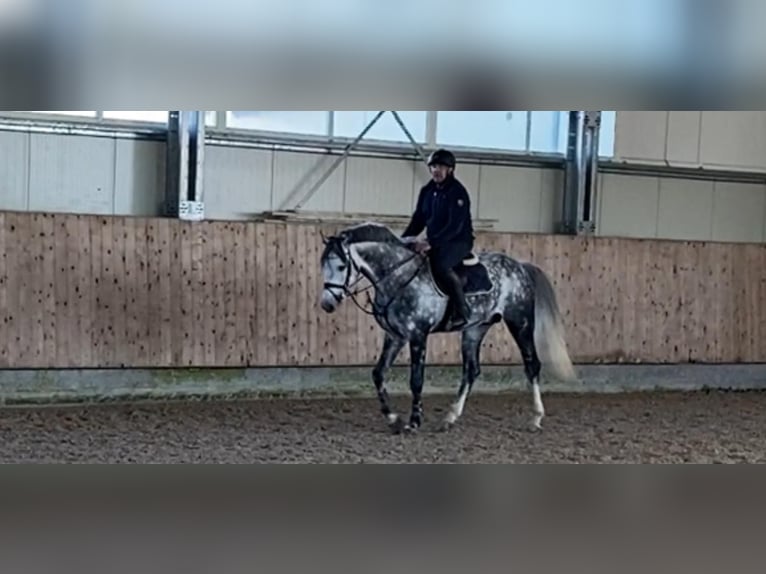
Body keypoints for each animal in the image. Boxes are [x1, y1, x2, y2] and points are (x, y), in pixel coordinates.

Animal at [316, 223, 576, 434]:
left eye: (341, 266)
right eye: (323, 266)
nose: (327, 304)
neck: (398, 277)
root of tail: (520, 266)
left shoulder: (418, 336)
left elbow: (416, 380)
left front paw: (413, 422)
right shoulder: (395, 336)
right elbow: (378, 374)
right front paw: (393, 419)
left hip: (520, 322)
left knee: (532, 365)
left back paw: (536, 419)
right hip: (475, 330)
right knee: (471, 371)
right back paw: (449, 418)